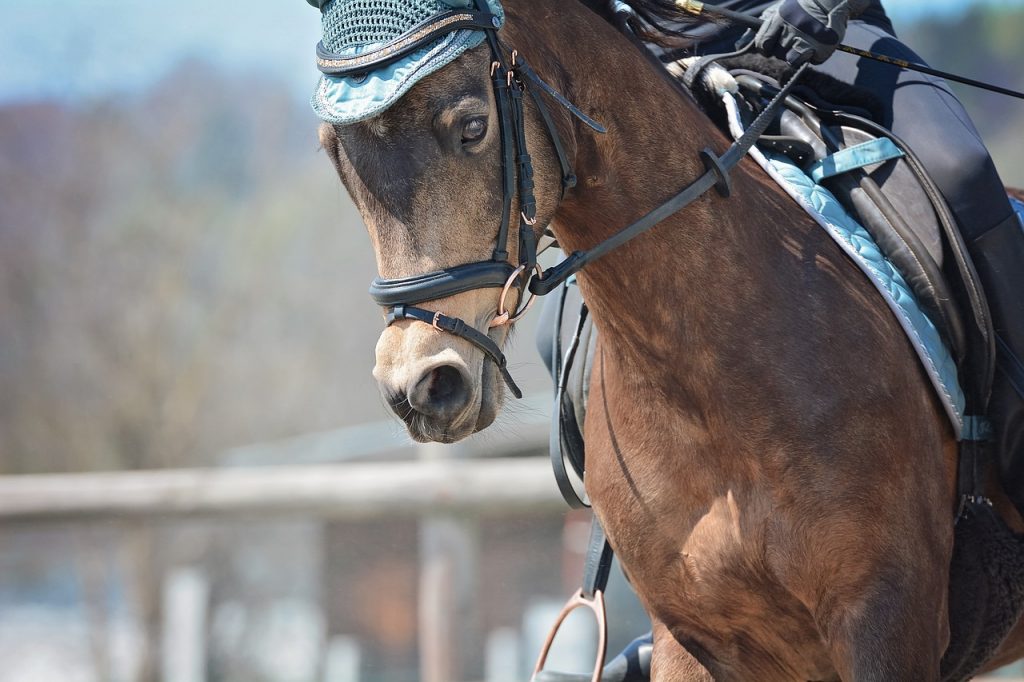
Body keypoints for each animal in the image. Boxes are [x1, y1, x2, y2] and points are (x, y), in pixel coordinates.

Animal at [314, 0, 1024, 678]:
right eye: (337, 156)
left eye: (472, 127)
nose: (420, 386)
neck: (708, 379)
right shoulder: (698, 637)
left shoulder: (884, 614)